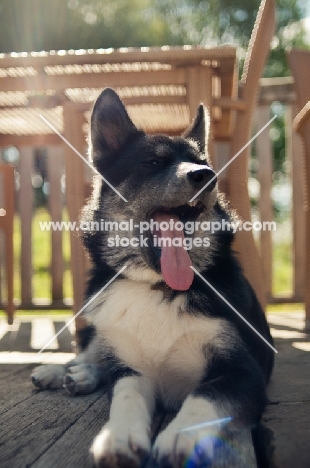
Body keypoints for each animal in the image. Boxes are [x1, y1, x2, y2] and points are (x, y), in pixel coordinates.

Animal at [31, 88, 274, 468]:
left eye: (202, 161)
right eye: (153, 163)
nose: (207, 175)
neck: (157, 286)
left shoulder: (243, 373)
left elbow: (207, 395)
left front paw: (179, 435)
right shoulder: (133, 373)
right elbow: (124, 395)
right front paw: (117, 435)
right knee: (93, 354)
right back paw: (68, 372)